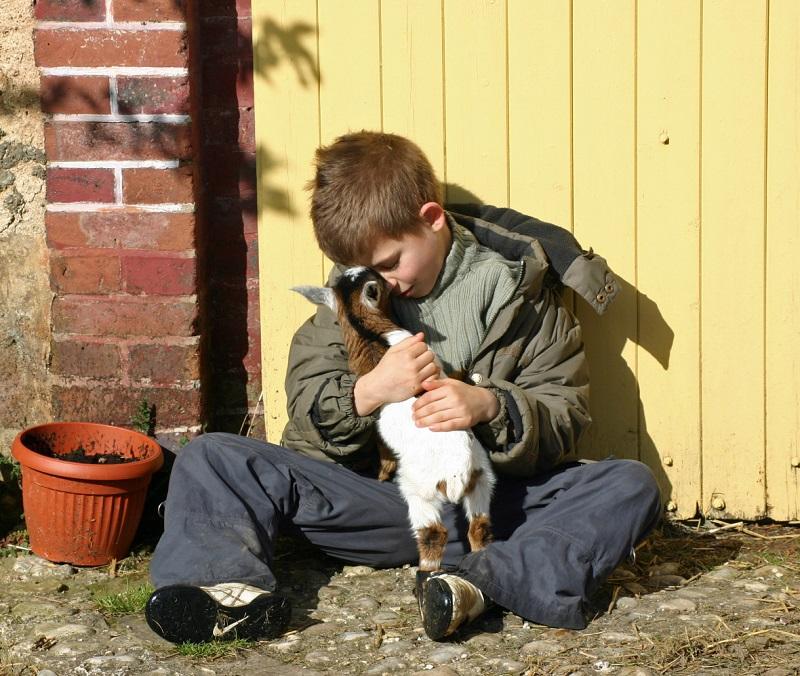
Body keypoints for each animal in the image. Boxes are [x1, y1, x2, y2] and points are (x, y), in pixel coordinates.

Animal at [294, 266, 494, 572]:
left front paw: (381, 473)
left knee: (434, 533)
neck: (370, 331)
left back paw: (426, 573)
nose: (389, 280)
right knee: (479, 526)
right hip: (483, 478)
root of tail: (457, 475)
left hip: (419, 488)